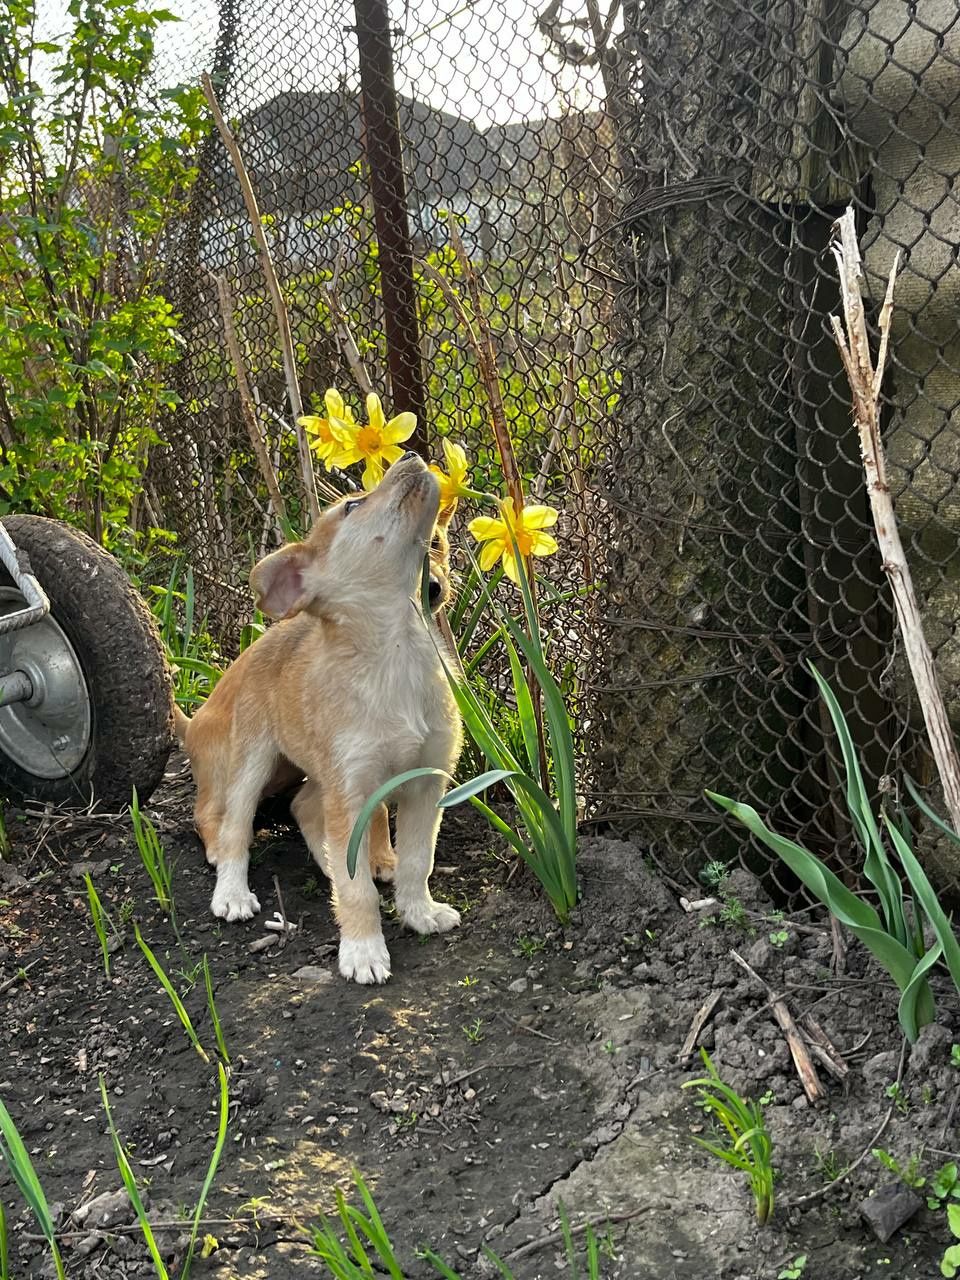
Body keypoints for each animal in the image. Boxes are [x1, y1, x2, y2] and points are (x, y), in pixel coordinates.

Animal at [179, 455, 465, 983]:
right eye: (352, 505)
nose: (411, 456)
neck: (399, 651)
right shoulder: (350, 790)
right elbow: (358, 892)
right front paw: (363, 950)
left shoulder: (424, 781)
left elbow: (418, 860)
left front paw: (419, 912)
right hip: (251, 763)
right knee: (232, 830)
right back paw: (232, 894)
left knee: (304, 805)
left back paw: (334, 862)